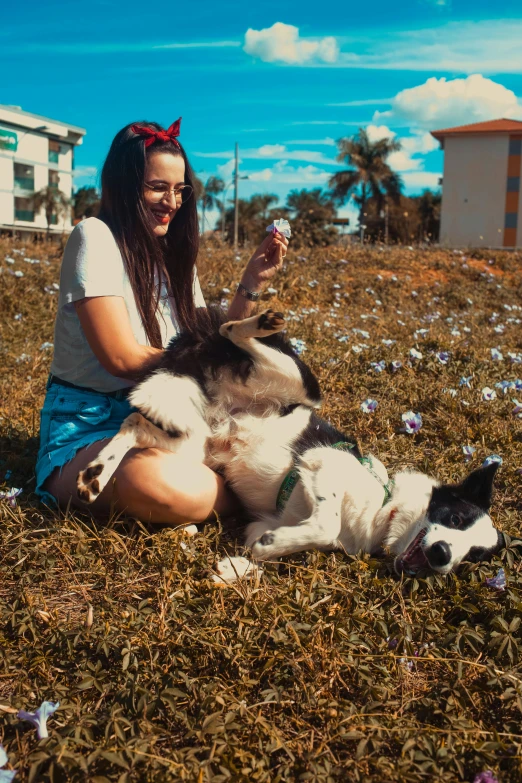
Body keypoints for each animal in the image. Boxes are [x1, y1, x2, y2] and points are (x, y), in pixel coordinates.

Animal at [76, 310, 500, 576]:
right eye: (456, 518)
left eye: (474, 558)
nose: (444, 555)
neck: (384, 508)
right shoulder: (320, 464)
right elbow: (325, 524)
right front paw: (269, 548)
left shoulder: (264, 521)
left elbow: (265, 553)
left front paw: (240, 566)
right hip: (300, 383)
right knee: (231, 331)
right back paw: (259, 322)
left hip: (193, 442)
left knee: (133, 424)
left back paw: (95, 476)